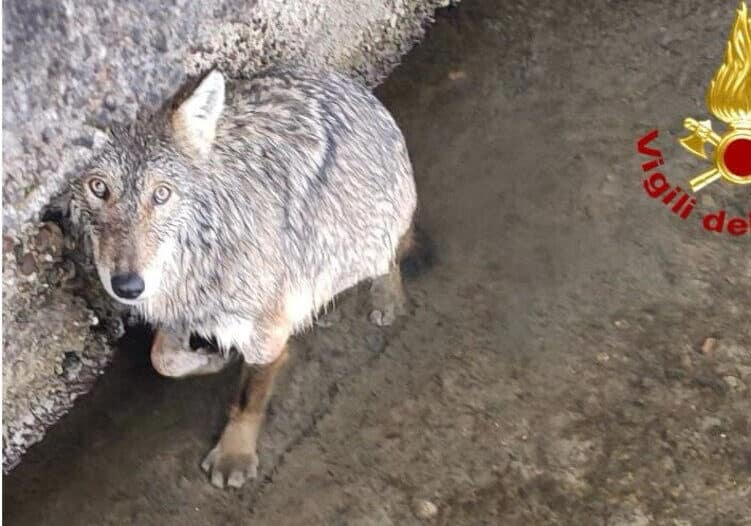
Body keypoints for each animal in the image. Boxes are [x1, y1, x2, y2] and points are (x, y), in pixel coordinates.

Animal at [71, 67, 417, 489]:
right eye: (98, 187)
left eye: (162, 194)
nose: (127, 286)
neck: (198, 259)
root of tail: (355, 88)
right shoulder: (182, 310)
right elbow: (162, 359)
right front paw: (210, 360)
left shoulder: (266, 329)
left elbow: (249, 397)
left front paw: (234, 454)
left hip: (366, 236)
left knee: (391, 257)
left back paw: (385, 299)